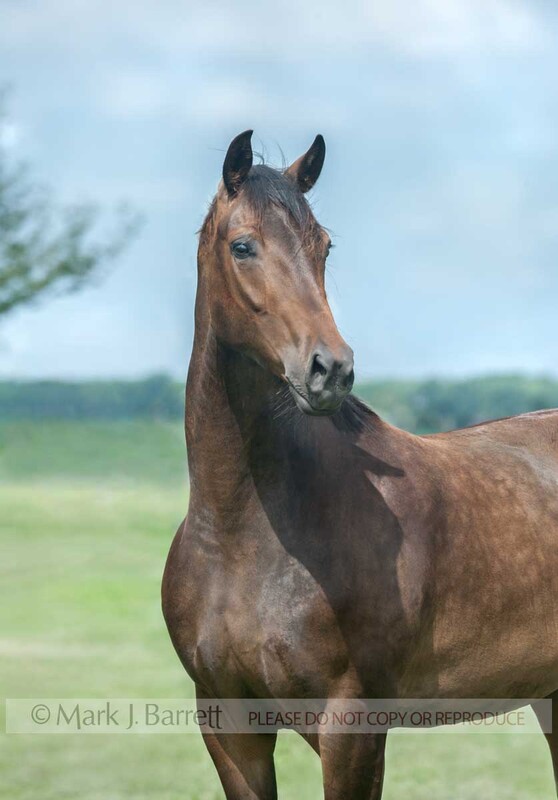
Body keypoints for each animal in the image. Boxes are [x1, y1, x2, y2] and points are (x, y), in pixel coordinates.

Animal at [162, 130, 558, 799]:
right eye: (242, 245)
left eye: (324, 245)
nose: (331, 370)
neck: (245, 537)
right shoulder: (228, 723)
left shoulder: (350, 728)